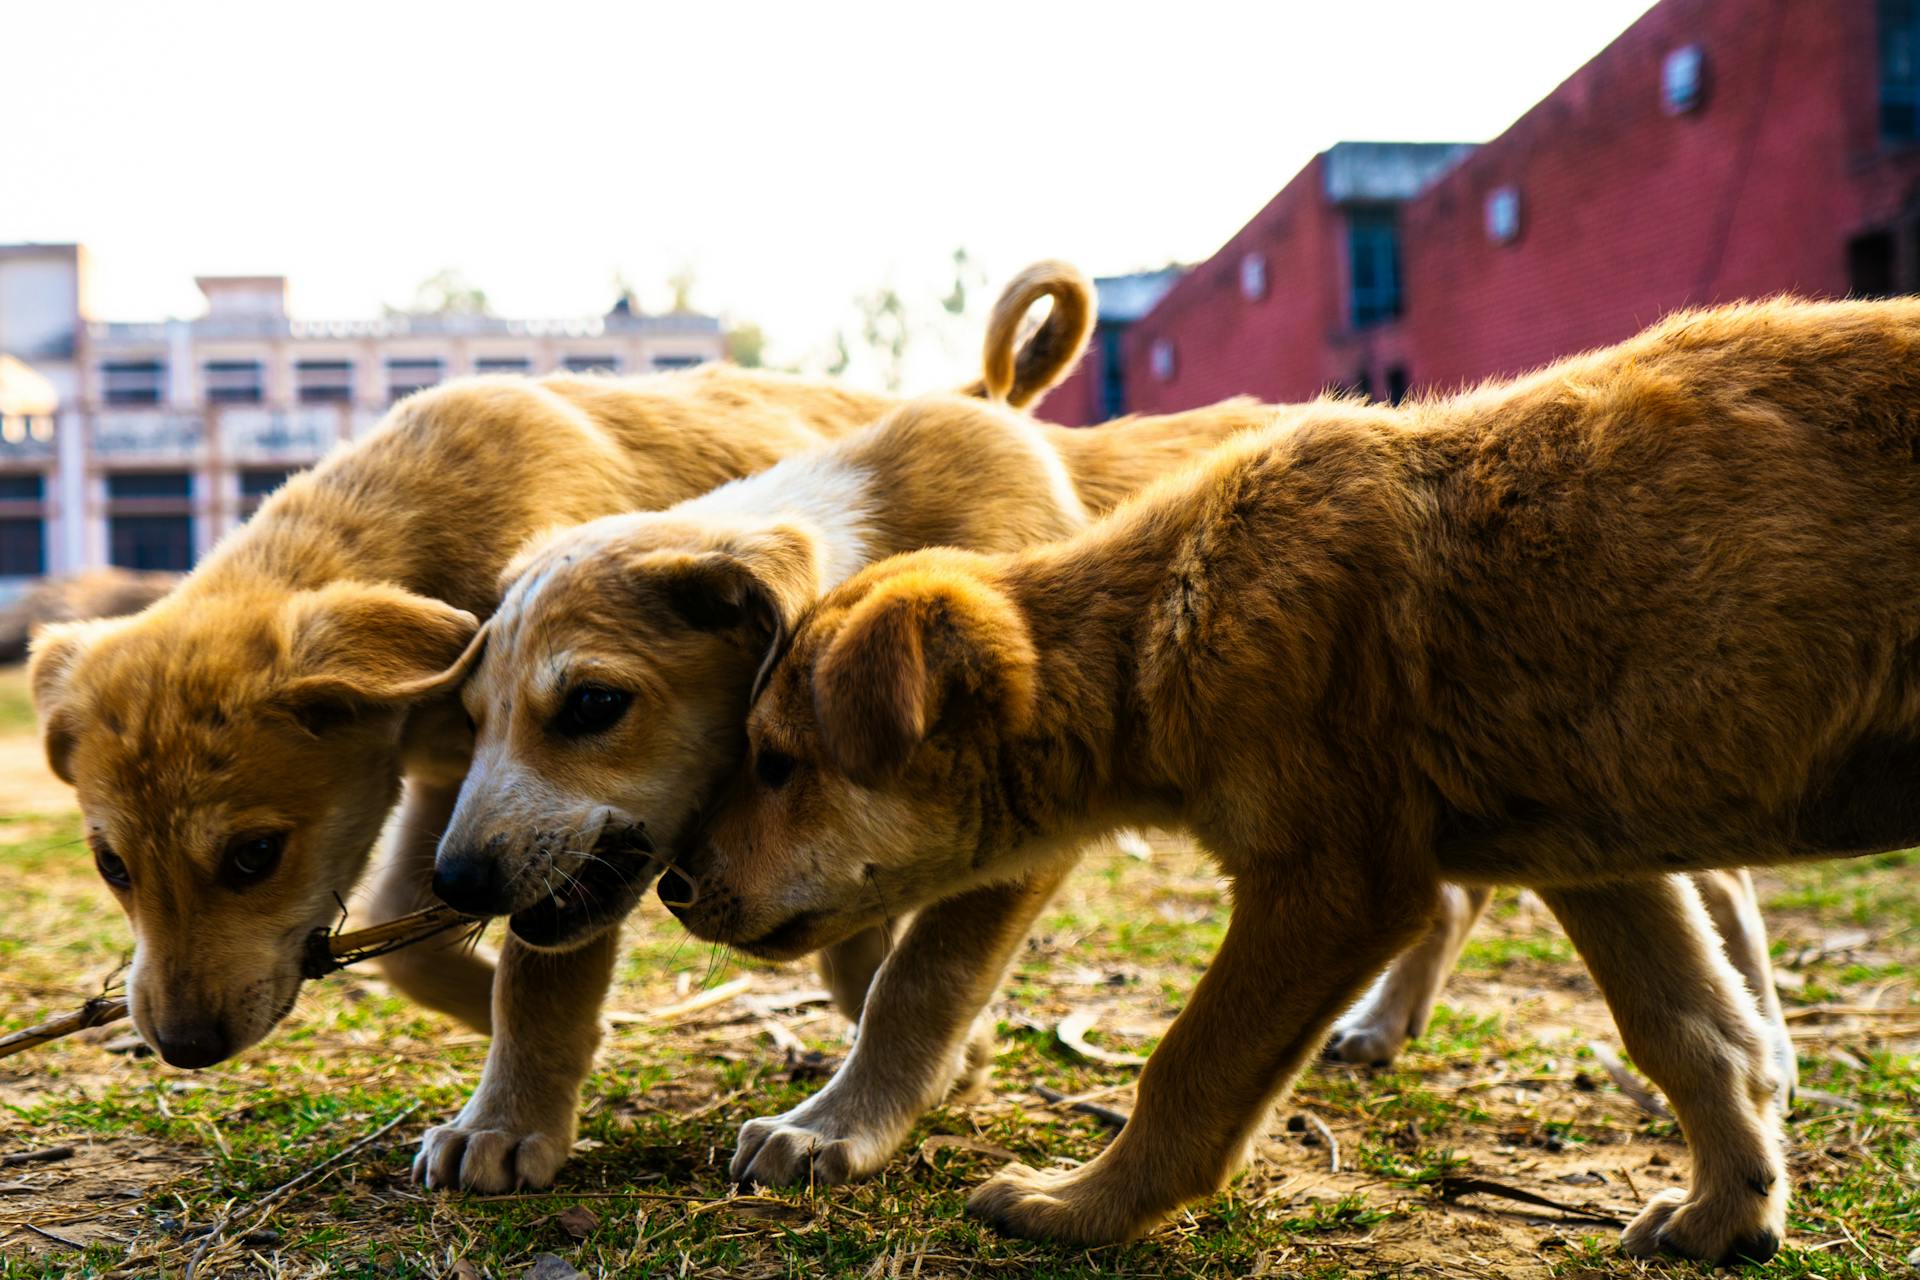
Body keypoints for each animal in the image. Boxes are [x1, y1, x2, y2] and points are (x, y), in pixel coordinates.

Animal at [412, 264, 1267, 1197]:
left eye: (595, 706)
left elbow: (918, 977)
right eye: (472, 718)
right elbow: (538, 976)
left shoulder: (1022, 821)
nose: (454, 883)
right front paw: (502, 1121)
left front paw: (841, 1124)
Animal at [668, 297, 1920, 1258]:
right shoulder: (1590, 850)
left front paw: (1080, 1205)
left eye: (777, 762)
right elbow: (1689, 1028)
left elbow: (1190, 1065)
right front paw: (1731, 1209)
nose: (674, 884)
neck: (1159, 621)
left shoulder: (1333, 881)